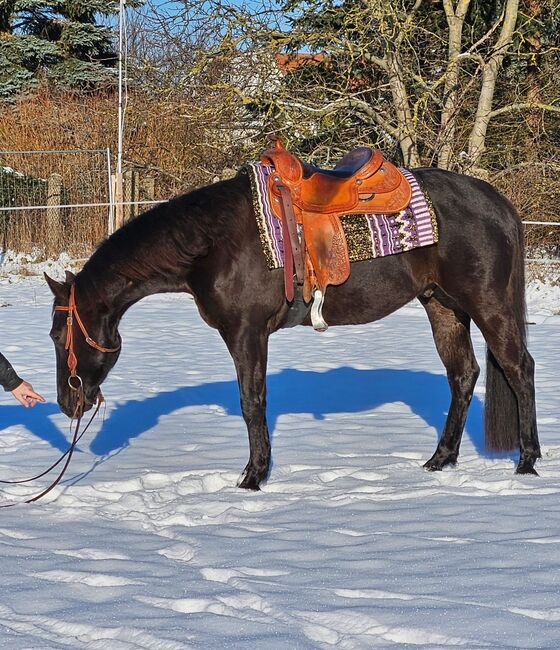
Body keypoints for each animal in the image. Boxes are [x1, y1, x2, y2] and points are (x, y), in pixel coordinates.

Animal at [46, 167, 540, 486]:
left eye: (57, 335)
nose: (67, 404)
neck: (210, 243)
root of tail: (497, 202)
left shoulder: (246, 333)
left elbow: (252, 402)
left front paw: (252, 476)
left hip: (488, 305)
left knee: (520, 370)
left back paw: (527, 462)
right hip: (443, 307)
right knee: (464, 376)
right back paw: (441, 459)